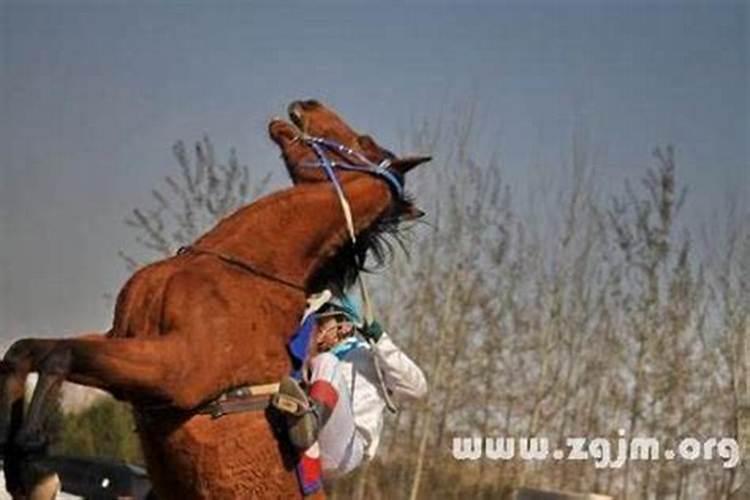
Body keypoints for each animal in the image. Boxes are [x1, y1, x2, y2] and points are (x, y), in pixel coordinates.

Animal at [0, 100, 430, 499]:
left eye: (364, 142)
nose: (309, 103)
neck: (238, 268)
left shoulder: (174, 369)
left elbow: (59, 356)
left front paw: (33, 468)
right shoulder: (120, 339)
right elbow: (24, 351)